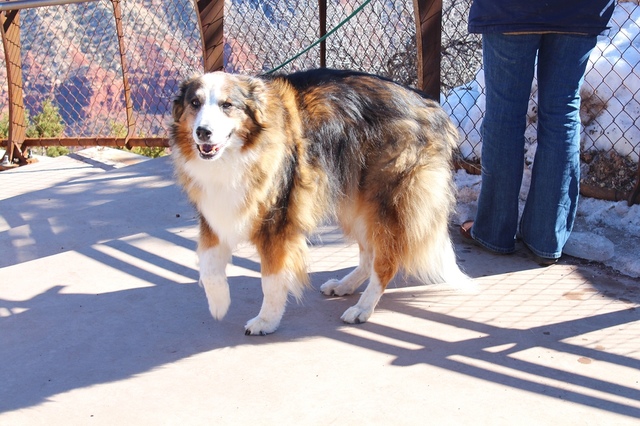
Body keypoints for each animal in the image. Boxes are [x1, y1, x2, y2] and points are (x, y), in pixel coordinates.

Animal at [170, 69, 468, 336]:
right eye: (194, 103)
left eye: (227, 105)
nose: (203, 132)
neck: (238, 153)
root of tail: (431, 106)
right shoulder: (214, 215)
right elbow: (208, 267)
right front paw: (219, 304)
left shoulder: (277, 226)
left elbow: (271, 281)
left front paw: (266, 321)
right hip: (354, 201)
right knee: (369, 254)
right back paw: (346, 285)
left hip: (384, 203)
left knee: (385, 261)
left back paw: (363, 308)